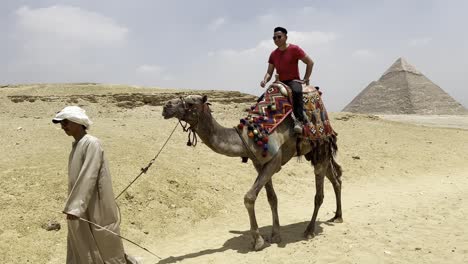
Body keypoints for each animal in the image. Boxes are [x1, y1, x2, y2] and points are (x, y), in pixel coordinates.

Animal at [163, 89, 342, 252]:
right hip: (314, 152)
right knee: (335, 178)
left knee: (319, 192)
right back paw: (337, 217)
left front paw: (258, 241)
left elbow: (249, 197)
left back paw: (310, 230)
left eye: (190, 103)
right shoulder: (259, 163)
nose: (166, 106)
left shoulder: (274, 160)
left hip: (321, 145)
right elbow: (272, 198)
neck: (248, 136)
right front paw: (275, 235)